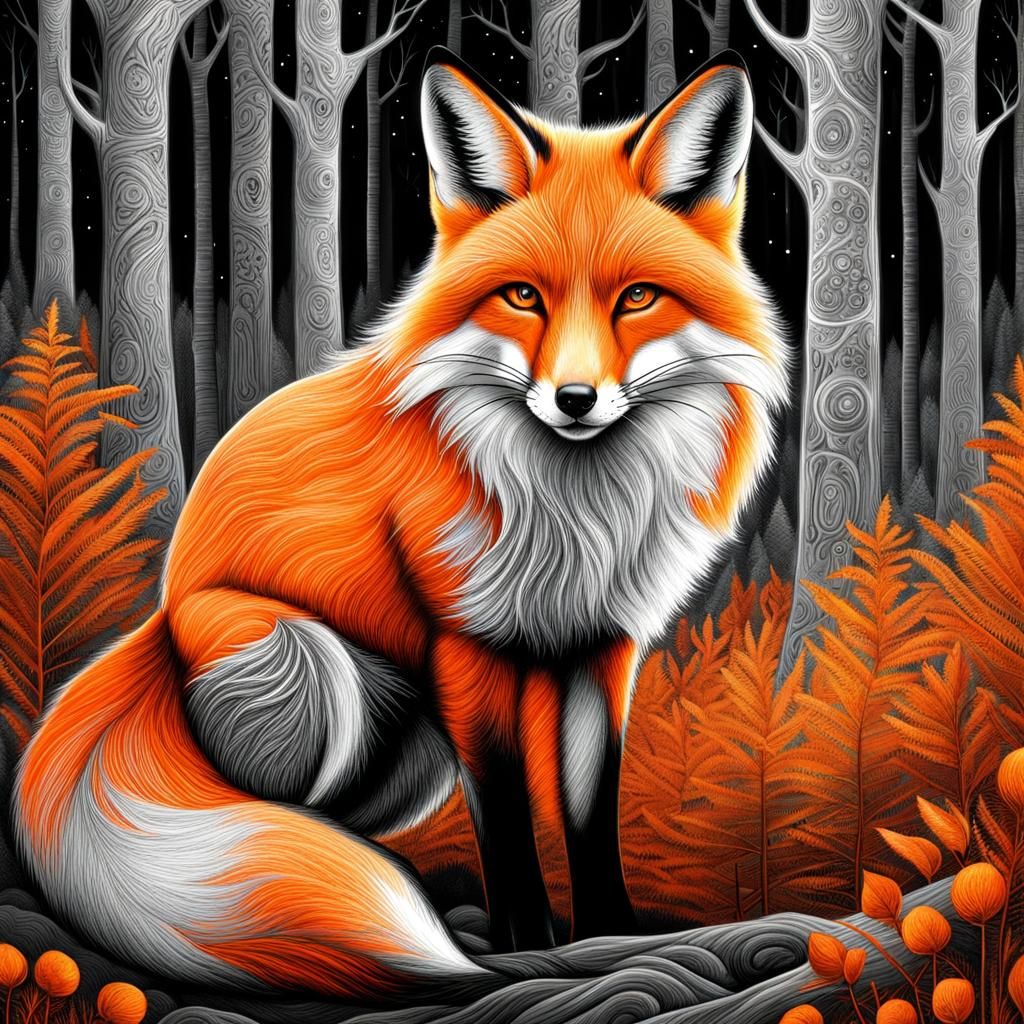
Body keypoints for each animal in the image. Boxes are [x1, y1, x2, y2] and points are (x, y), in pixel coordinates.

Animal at [13, 51, 788, 999]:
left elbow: (588, 812)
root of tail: (157, 617)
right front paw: (526, 944)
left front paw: (611, 934)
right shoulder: (466, 650)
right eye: (522, 297)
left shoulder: (601, 650)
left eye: (638, 298)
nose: (574, 399)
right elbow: (506, 814)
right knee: (265, 806)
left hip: (414, 750)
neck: (579, 515)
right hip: (313, 664)